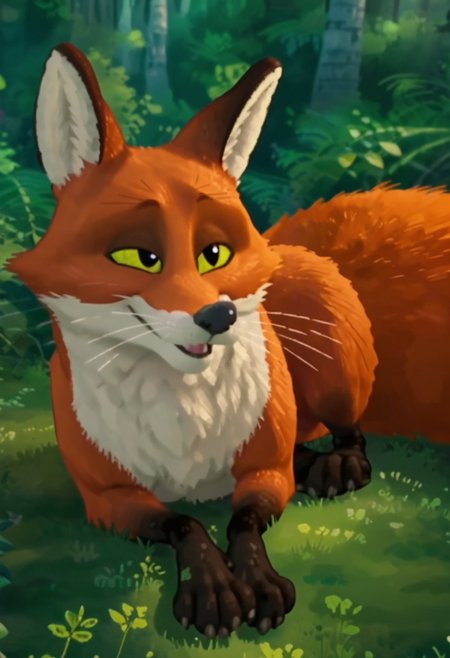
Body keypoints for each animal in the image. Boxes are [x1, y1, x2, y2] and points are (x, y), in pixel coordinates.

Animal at [7, 43, 450, 639]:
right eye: (138, 256)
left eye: (213, 254)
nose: (219, 315)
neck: (184, 431)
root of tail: (288, 245)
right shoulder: (108, 499)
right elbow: (185, 524)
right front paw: (215, 590)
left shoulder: (266, 471)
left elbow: (244, 521)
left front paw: (256, 583)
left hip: (335, 366)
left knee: (349, 434)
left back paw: (336, 466)